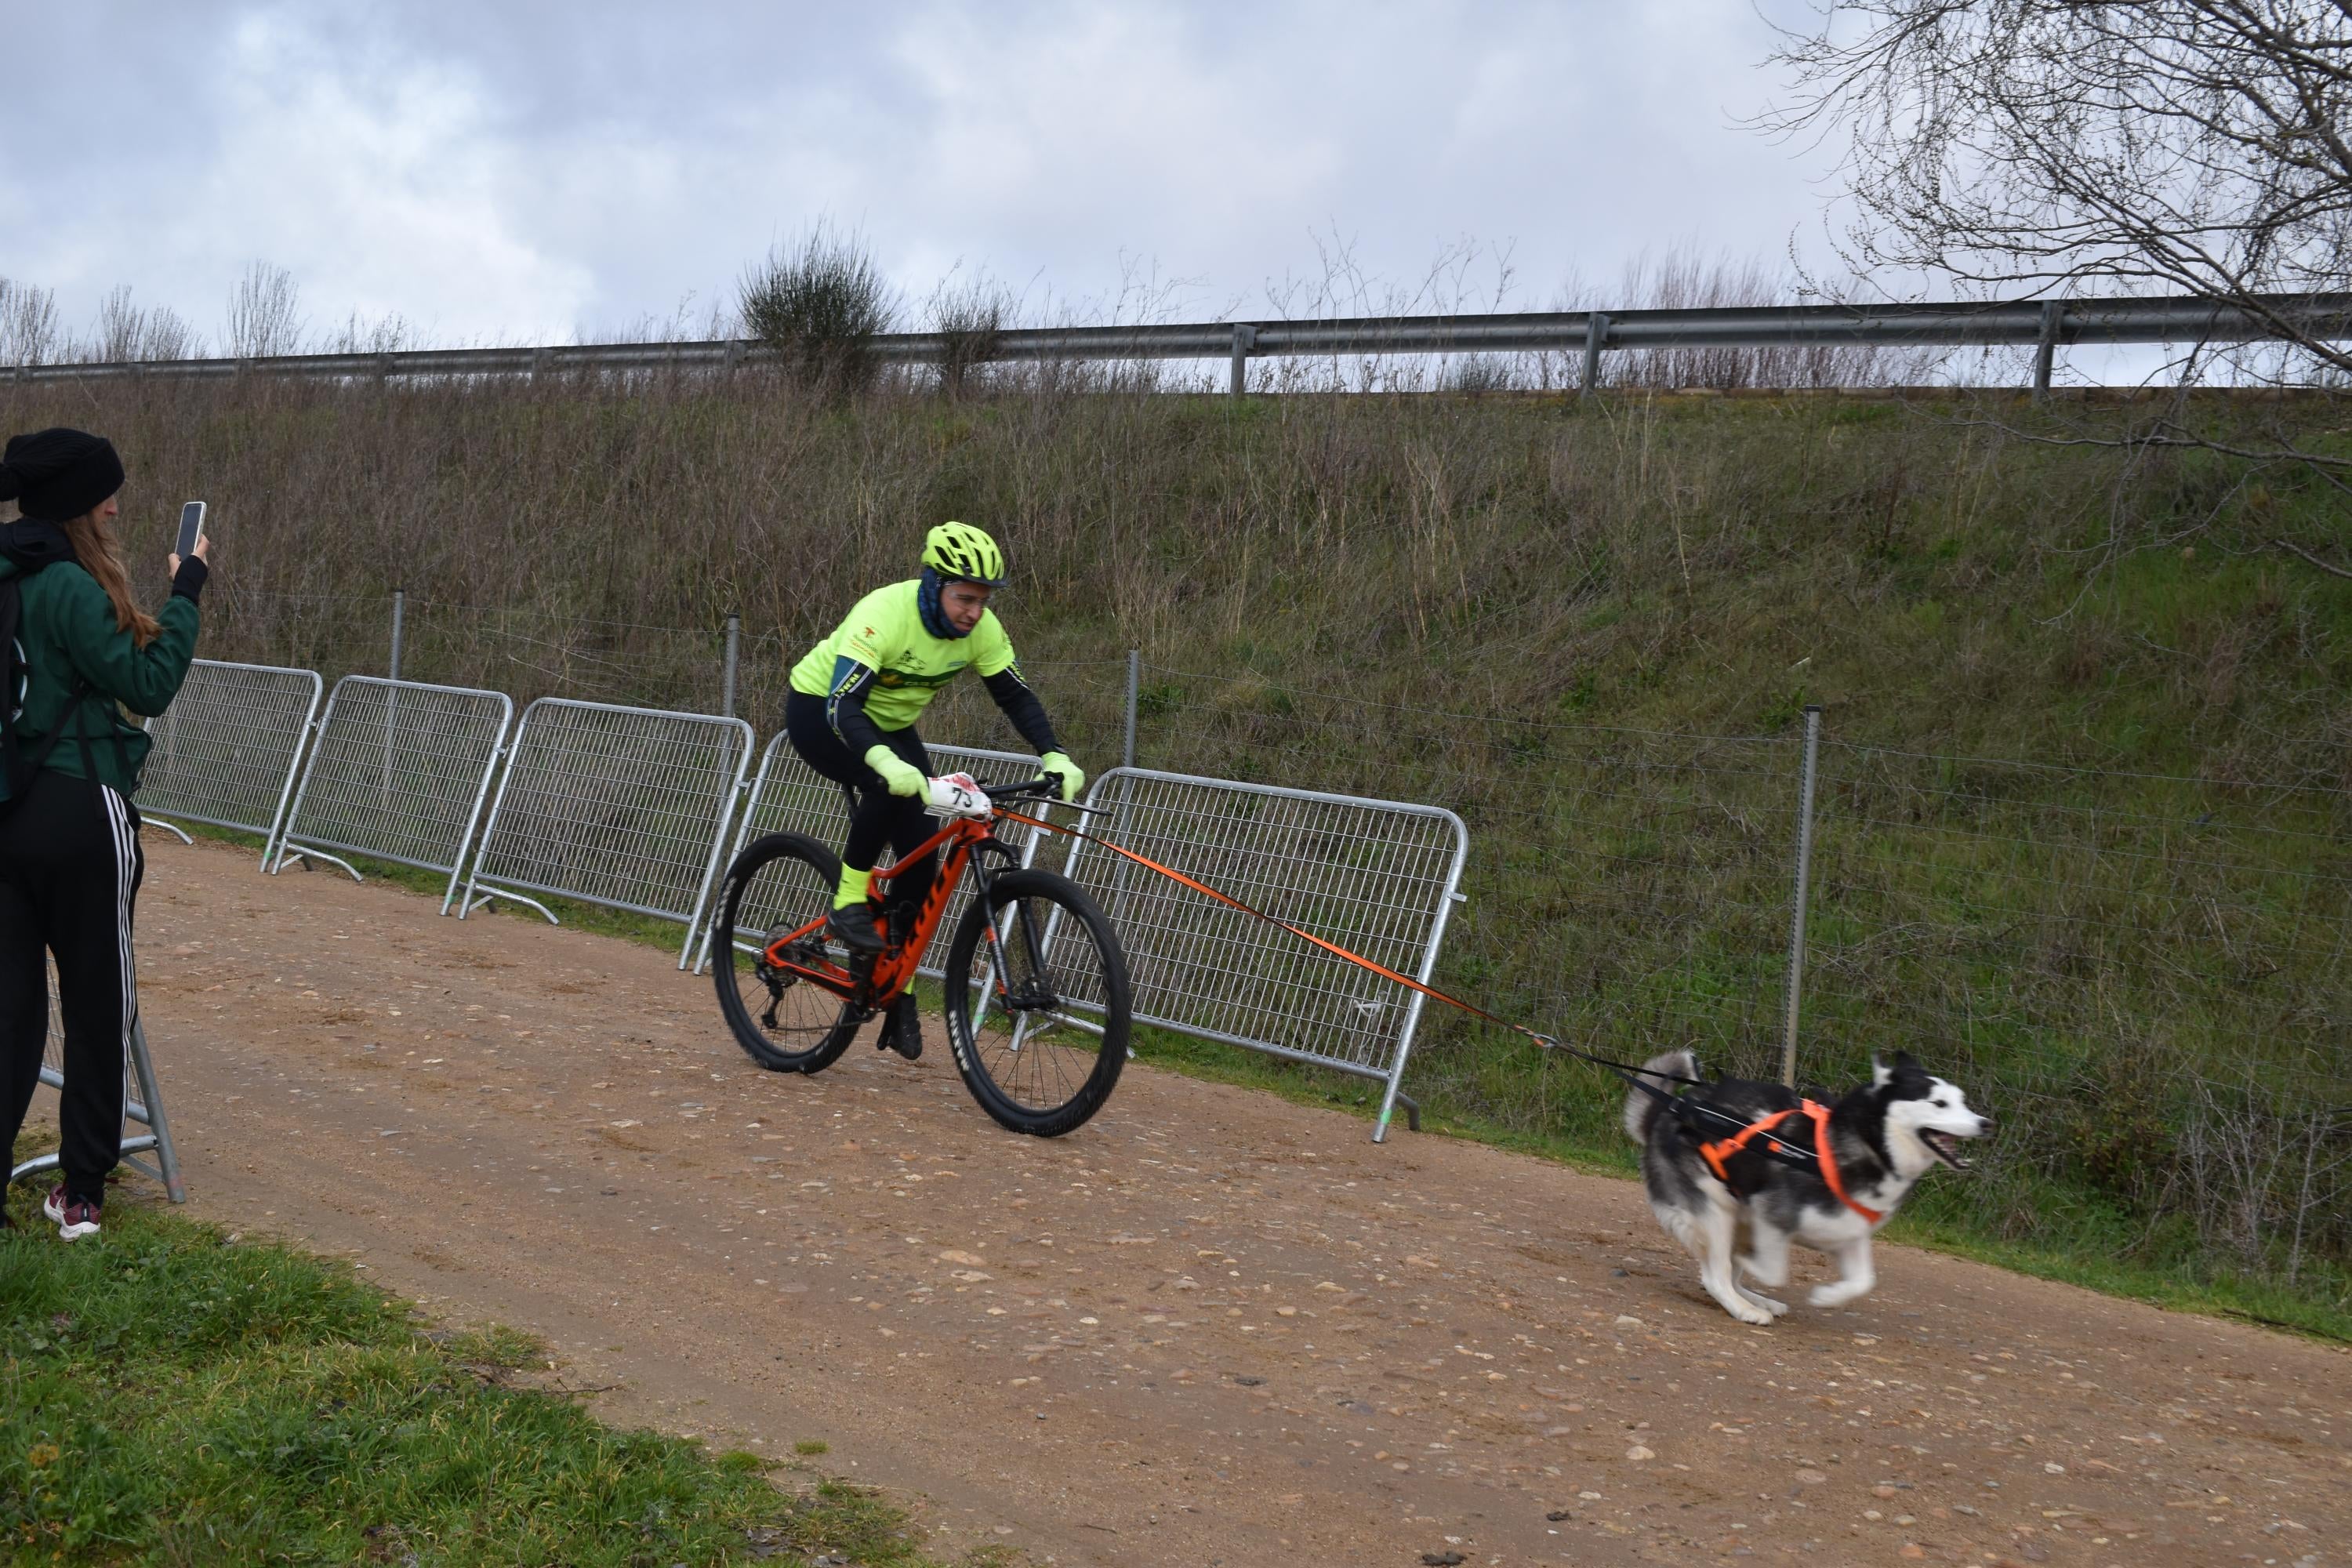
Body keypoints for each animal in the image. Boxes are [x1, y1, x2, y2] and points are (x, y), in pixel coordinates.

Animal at [1628, 1053, 1994, 1326]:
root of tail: (1670, 1109)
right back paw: (1745, 1309)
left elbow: (1863, 1281)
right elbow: (1774, 1270)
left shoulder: (1849, 1232)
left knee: (1728, 1276)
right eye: (1939, 1103)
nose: (1986, 1124)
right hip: (1717, 1211)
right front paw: (1757, 1266)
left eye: (1962, 1101)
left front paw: (1827, 1297)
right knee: (1717, 1276)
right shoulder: (1770, 1215)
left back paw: (1756, 1300)